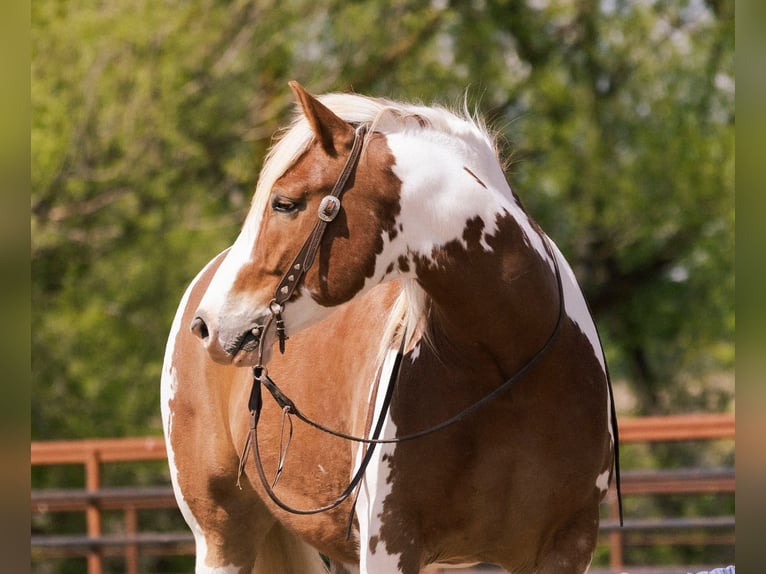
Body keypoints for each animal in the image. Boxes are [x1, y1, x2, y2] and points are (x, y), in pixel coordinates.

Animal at [161, 81, 619, 574]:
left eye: (284, 203)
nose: (207, 325)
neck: (508, 369)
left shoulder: (566, 548)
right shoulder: (390, 545)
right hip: (221, 537)